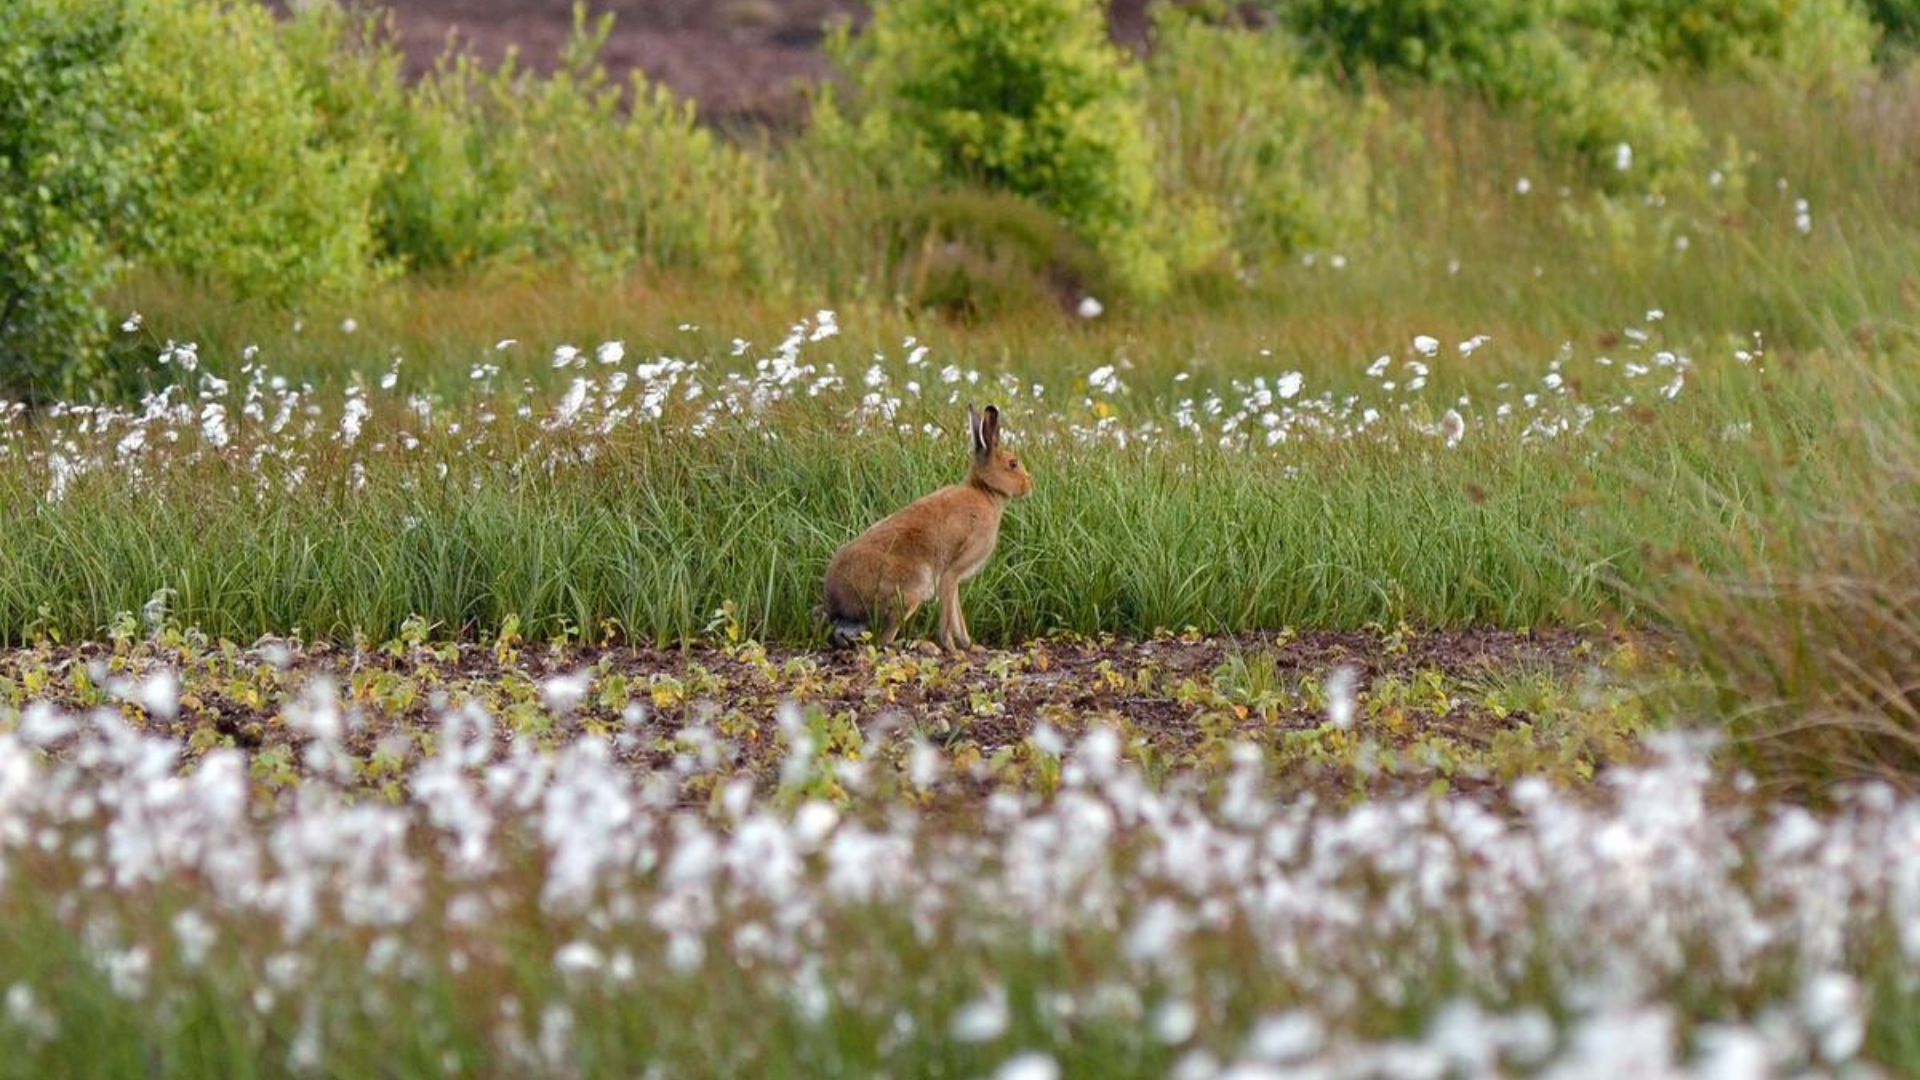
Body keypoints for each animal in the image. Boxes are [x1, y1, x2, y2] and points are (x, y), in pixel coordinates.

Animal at [819, 404, 1033, 652]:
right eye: (1013, 464)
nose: (1030, 484)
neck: (985, 492)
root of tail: (835, 596)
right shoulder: (952, 573)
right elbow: (949, 616)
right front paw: (954, 648)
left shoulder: (953, 582)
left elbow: (956, 612)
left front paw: (970, 646)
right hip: (911, 591)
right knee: (884, 641)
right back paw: (924, 646)